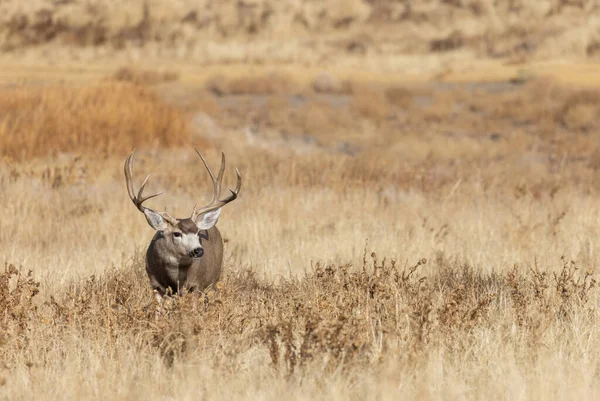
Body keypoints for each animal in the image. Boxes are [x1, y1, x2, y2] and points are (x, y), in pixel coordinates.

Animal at [123, 147, 241, 296]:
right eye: (177, 233)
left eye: (198, 233)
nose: (198, 250)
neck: (174, 278)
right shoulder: (155, 284)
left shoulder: (196, 285)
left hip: (213, 280)